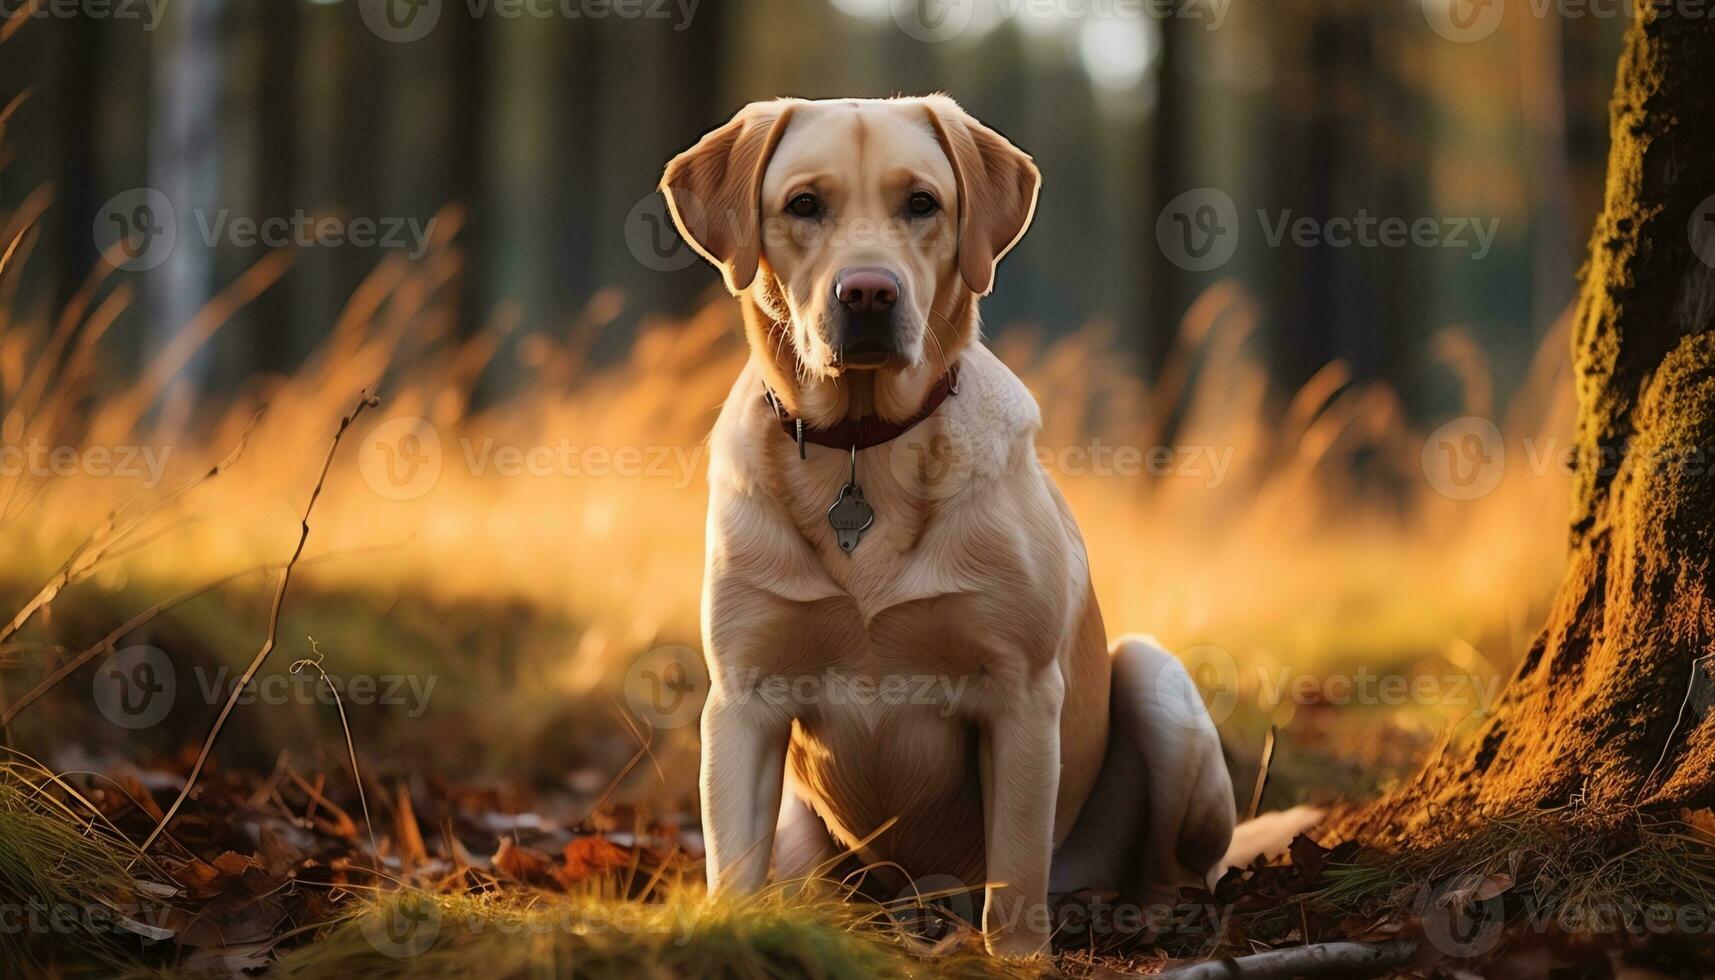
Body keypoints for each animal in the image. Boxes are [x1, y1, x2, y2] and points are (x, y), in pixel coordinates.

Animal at [655, 95, 1234, 954]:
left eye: (921, 203)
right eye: (804, 204)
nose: (867, 293)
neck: (861, 445)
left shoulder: (1020, 695)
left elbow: (1015, 881)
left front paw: (1018, 960)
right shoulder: (743, 698)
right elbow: (732, 866)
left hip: (1154, 680)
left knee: (1174, 865)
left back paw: (1133, 910)